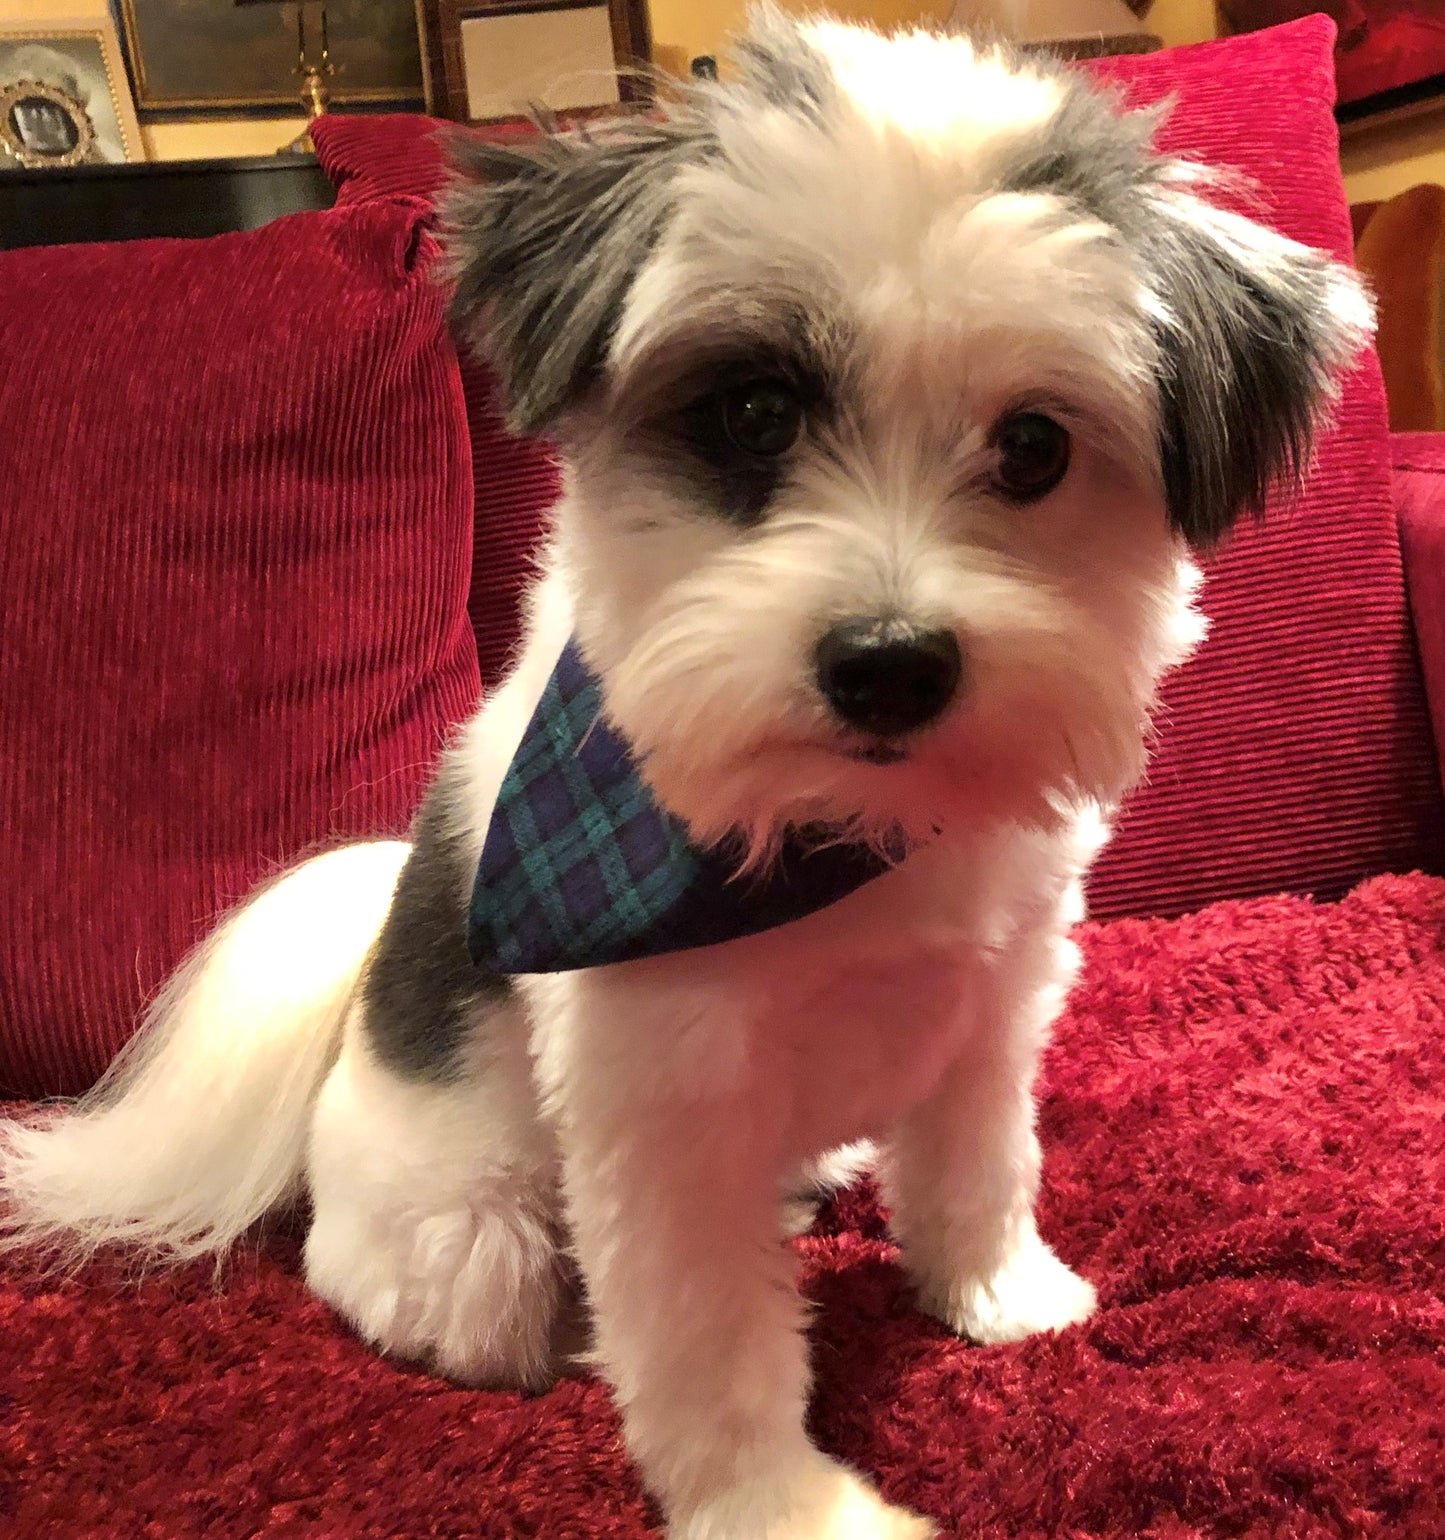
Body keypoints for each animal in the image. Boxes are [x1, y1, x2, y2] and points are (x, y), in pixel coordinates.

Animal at [0, 12, 1367, 1540]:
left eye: (1033, 446)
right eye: (755, 411)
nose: (890, 664)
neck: (836, 827)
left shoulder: (995, 995)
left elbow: (977, 1163)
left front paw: (995, 1294)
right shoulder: (661, 1100)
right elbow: (706, 1333)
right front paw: (784, 1506)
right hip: (471, 1233)